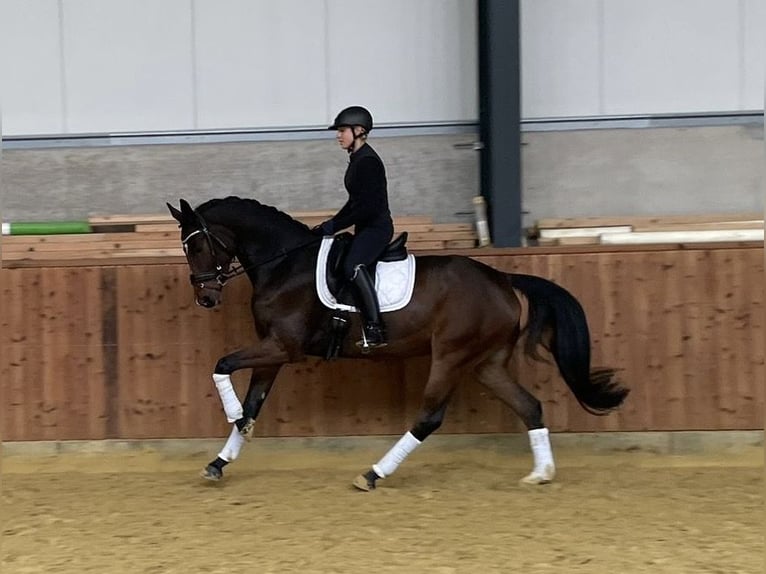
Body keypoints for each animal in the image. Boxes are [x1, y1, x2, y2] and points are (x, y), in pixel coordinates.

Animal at [168, 197, 632, 490]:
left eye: (199, 244)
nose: (206, 298)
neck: (285, 264)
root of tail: (503, 279)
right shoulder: (272, 349)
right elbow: (252, 402)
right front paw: (219, 461)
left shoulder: (284, 347)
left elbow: (222, 364)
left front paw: (231, 421)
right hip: (485, 363)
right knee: (530, 406)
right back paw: (541, 474)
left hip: (450, 356)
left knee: (429, 418)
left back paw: (373, 474)